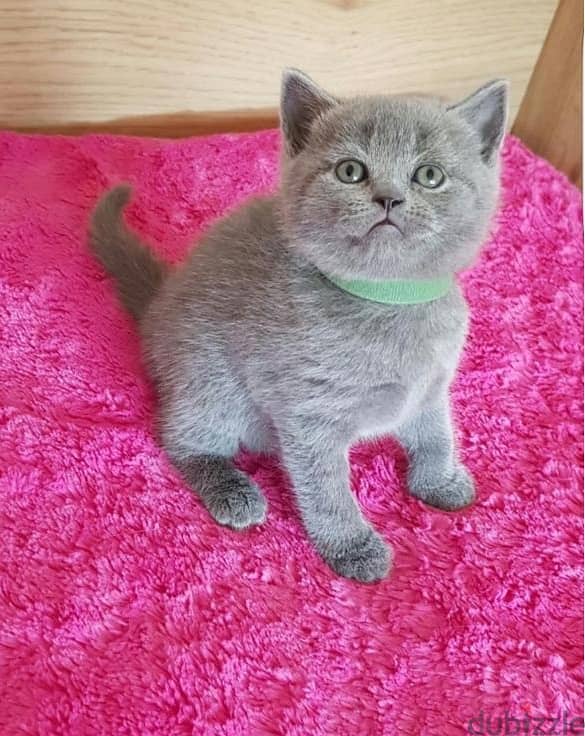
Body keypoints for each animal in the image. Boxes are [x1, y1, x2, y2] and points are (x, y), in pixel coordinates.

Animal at [90, 69, 506, 580]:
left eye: (430, 176)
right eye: (350, 171)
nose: (389, 198)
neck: (388, 299)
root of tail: (157, 307)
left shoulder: (431, 386)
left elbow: (436, 434)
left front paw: (440, 480)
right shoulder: (309, 412)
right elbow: (326, 488)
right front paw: (351, 546)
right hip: (211, 382)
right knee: (180, 437)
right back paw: (233, 489)